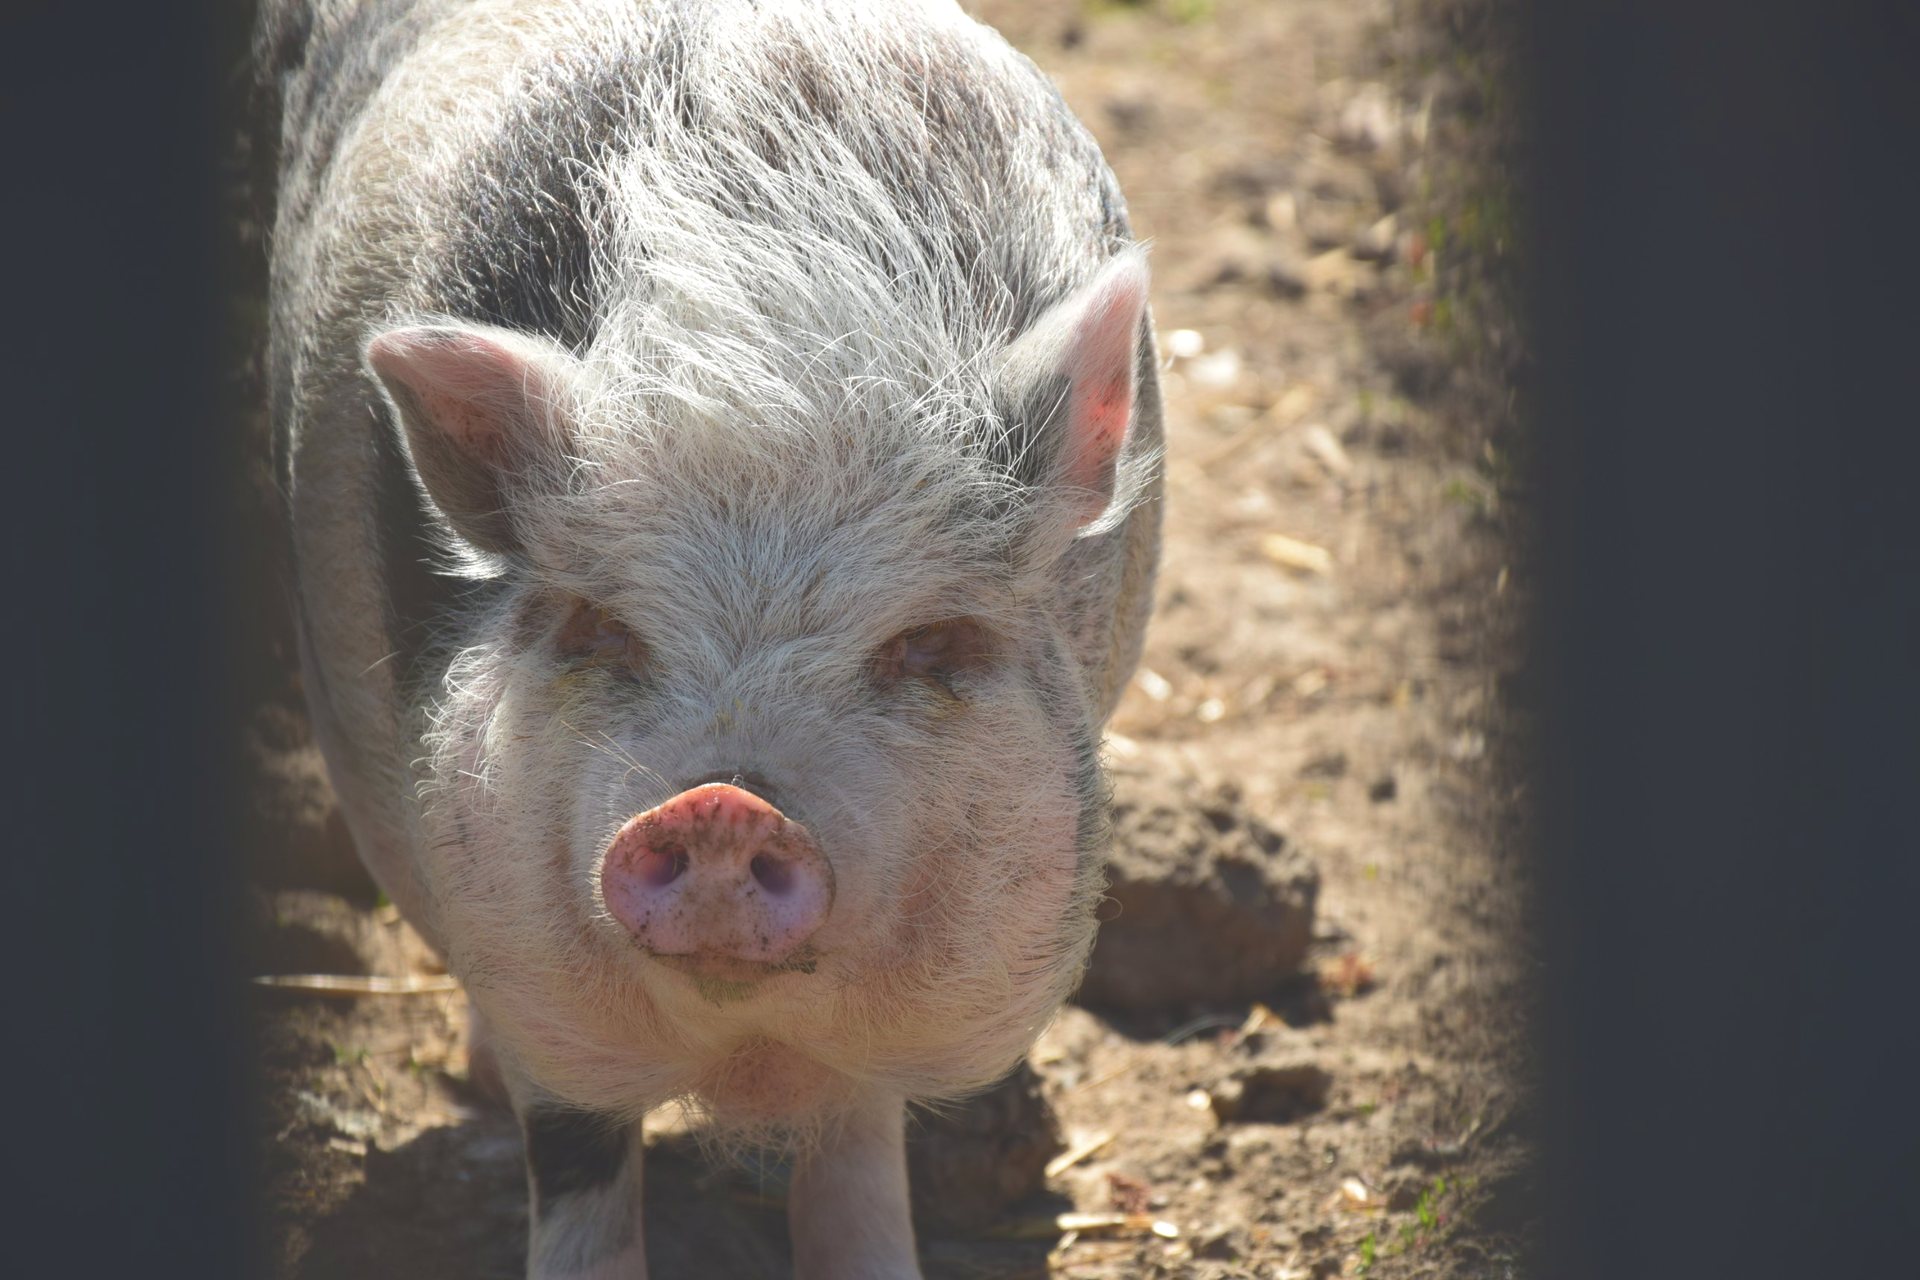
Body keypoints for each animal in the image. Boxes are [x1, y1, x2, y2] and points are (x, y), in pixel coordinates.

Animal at [256, 1, 1162, 1275]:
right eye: (601, 626)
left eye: (930, 642)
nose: (723, 804)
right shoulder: (513, 937)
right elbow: (578, 1167)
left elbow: (856, 1156)